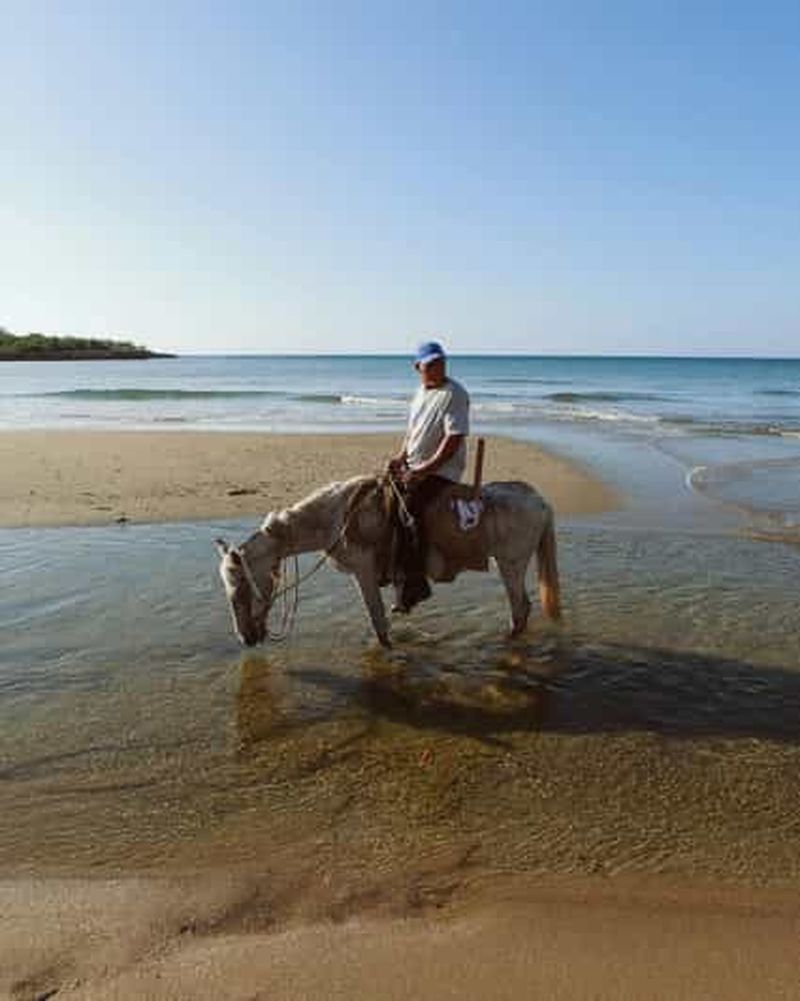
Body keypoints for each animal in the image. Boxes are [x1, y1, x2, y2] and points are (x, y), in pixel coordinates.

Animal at [215, 475, 560, 649]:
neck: (336, 517)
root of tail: (540, 501)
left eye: (240, 587)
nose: (245, 639)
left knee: (520, 609)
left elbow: (377, 619)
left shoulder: (363, 571)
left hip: (510, 564)